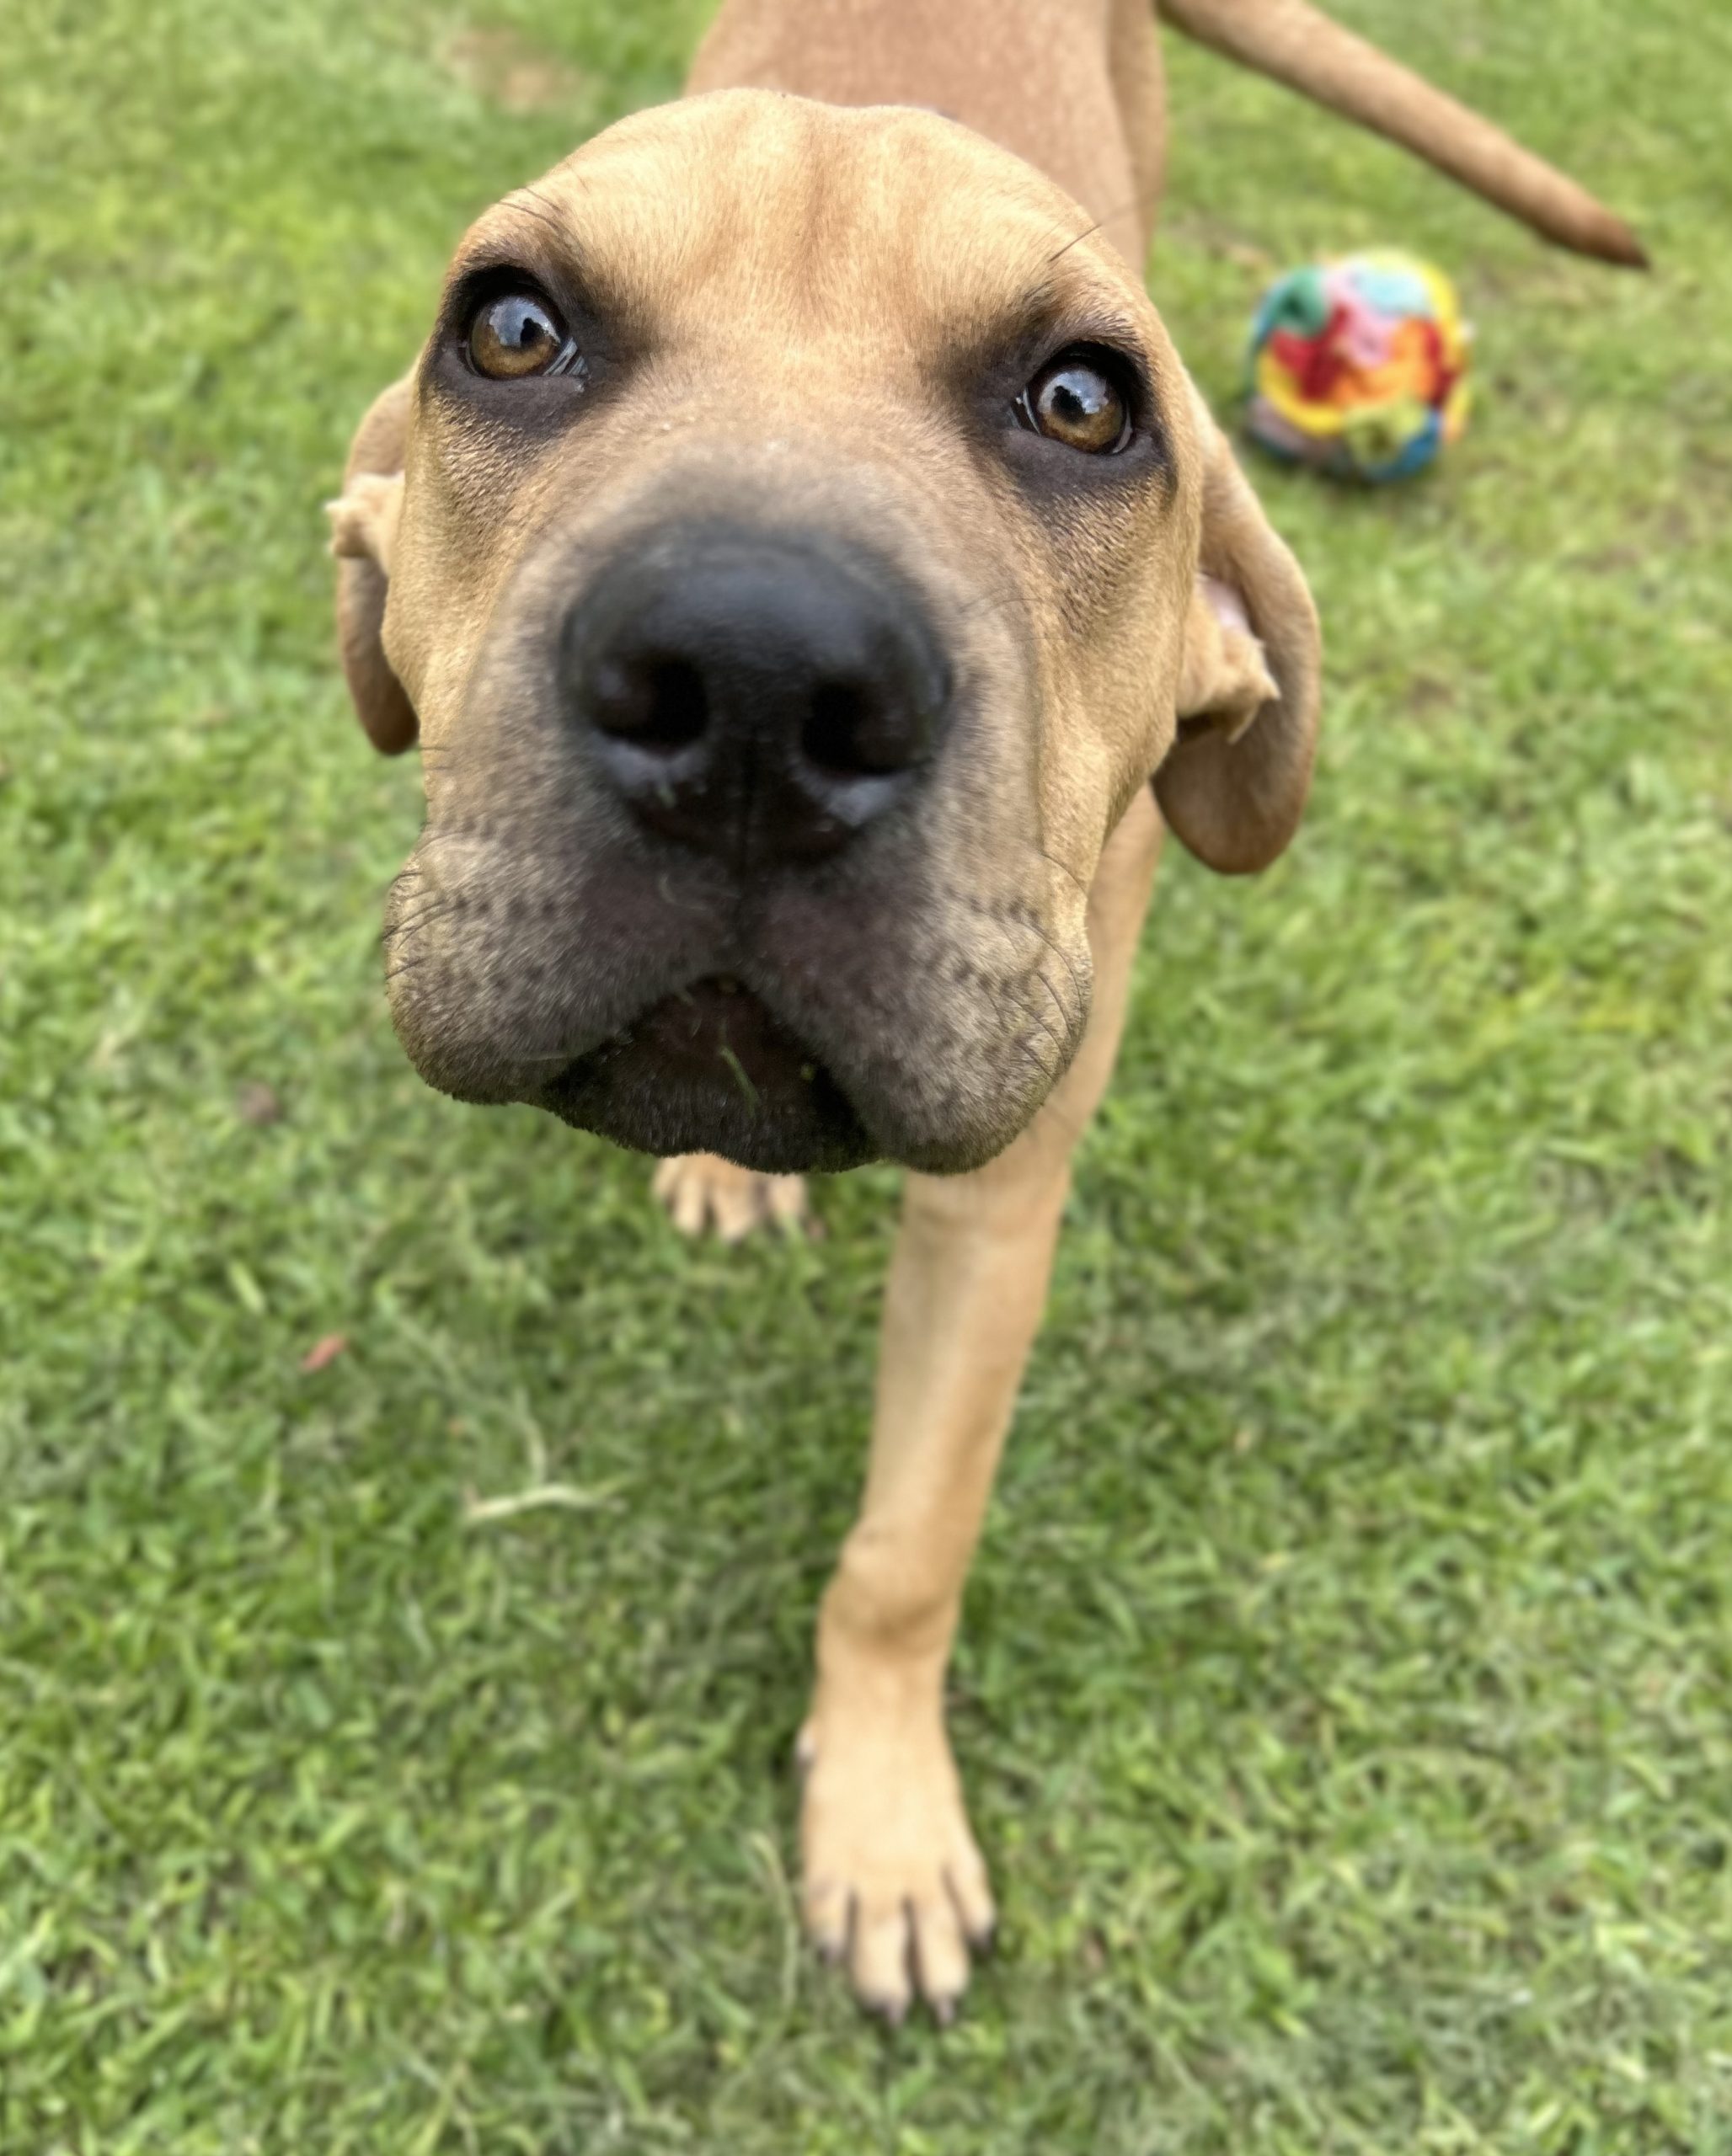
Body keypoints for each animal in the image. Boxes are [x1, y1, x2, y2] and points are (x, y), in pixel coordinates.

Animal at [328, 0, 1640, 2023]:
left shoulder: (999, 1213)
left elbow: (902, 1554)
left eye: (1086, 404)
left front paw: (877, 1820)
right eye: (512, 328)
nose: (752, 679)